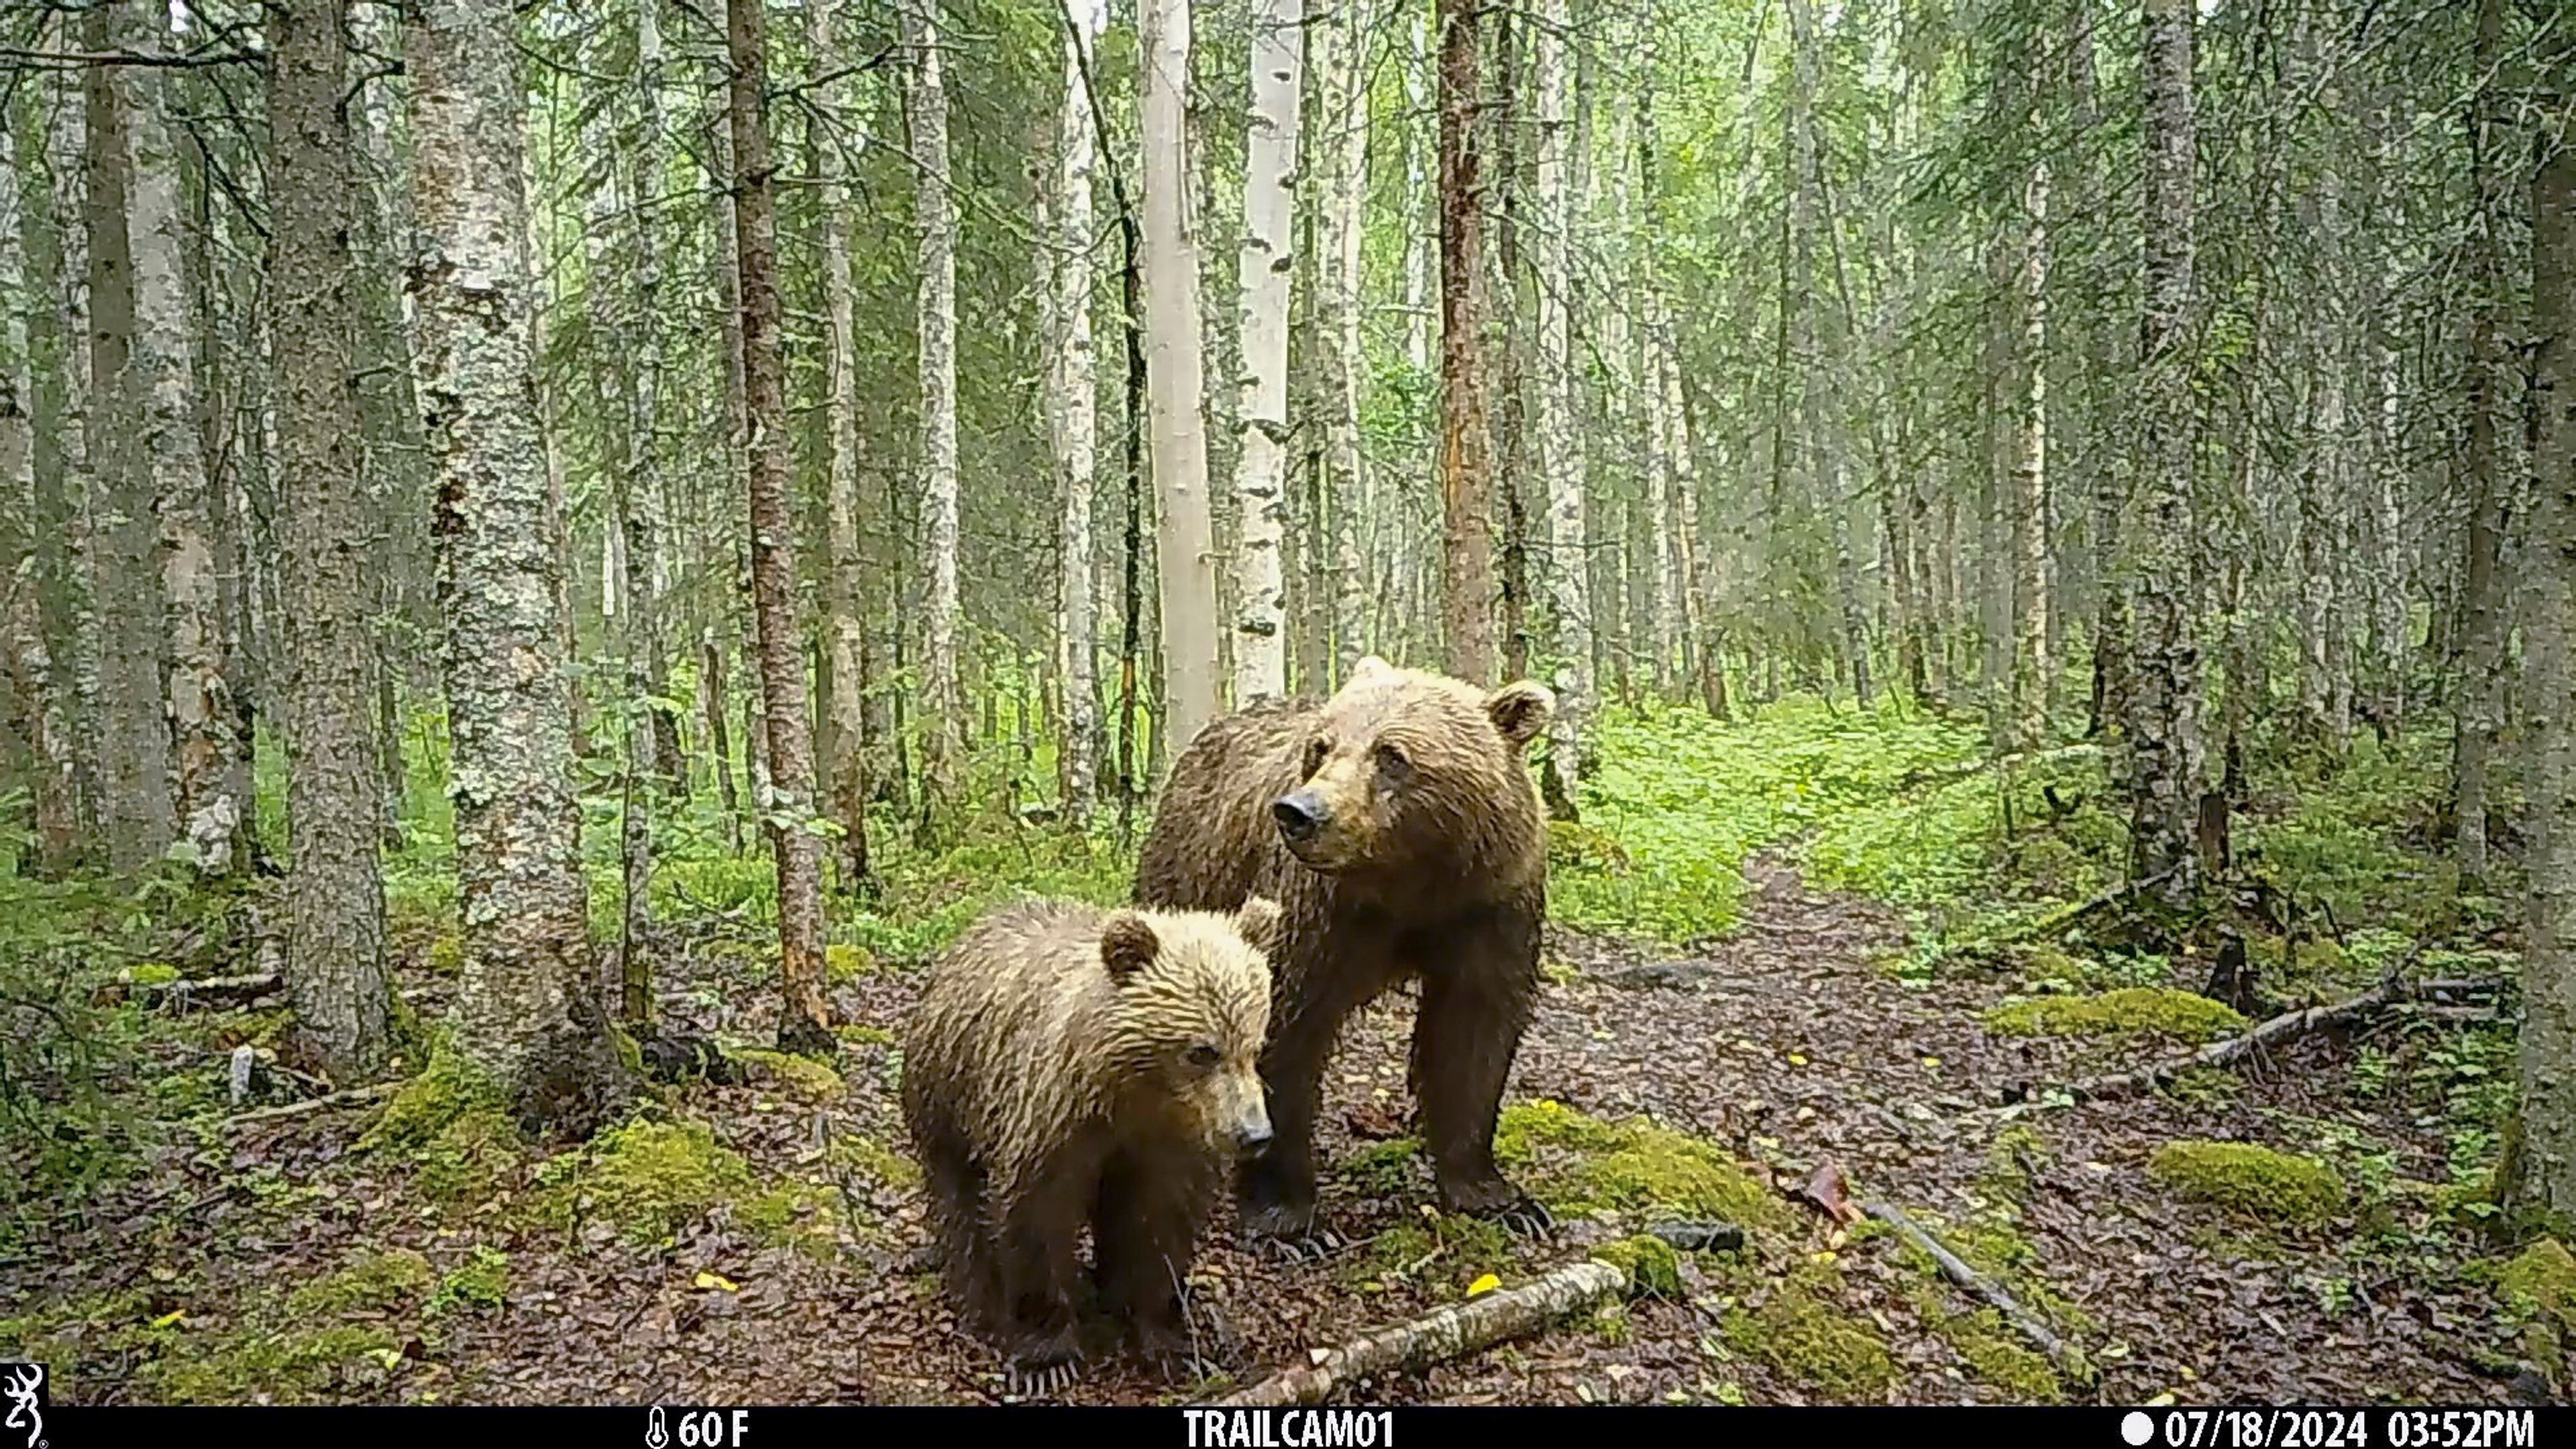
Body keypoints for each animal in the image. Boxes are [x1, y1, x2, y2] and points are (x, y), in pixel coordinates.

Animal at [1143, 657, 1546, 1252]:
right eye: (1321, 746)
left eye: (1392, 754)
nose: (1299, 811)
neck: (1411, 887)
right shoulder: (1318, 912)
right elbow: (1283, 1030)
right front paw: (1288, 1222)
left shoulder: (1489, 906)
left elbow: (1473, 1037)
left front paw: (1499, 1198)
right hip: (1190, 869)